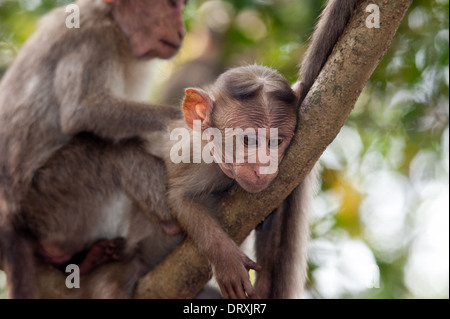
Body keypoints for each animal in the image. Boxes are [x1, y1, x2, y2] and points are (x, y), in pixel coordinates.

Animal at [0, 0, 187, 300]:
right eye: (171, 6)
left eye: (181, 6)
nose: (182, 31)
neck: (112, 19)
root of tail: (10, 216)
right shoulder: (95, 36)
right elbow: (85, 111)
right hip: (49, 202)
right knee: (112, 151)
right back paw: (171, 222)